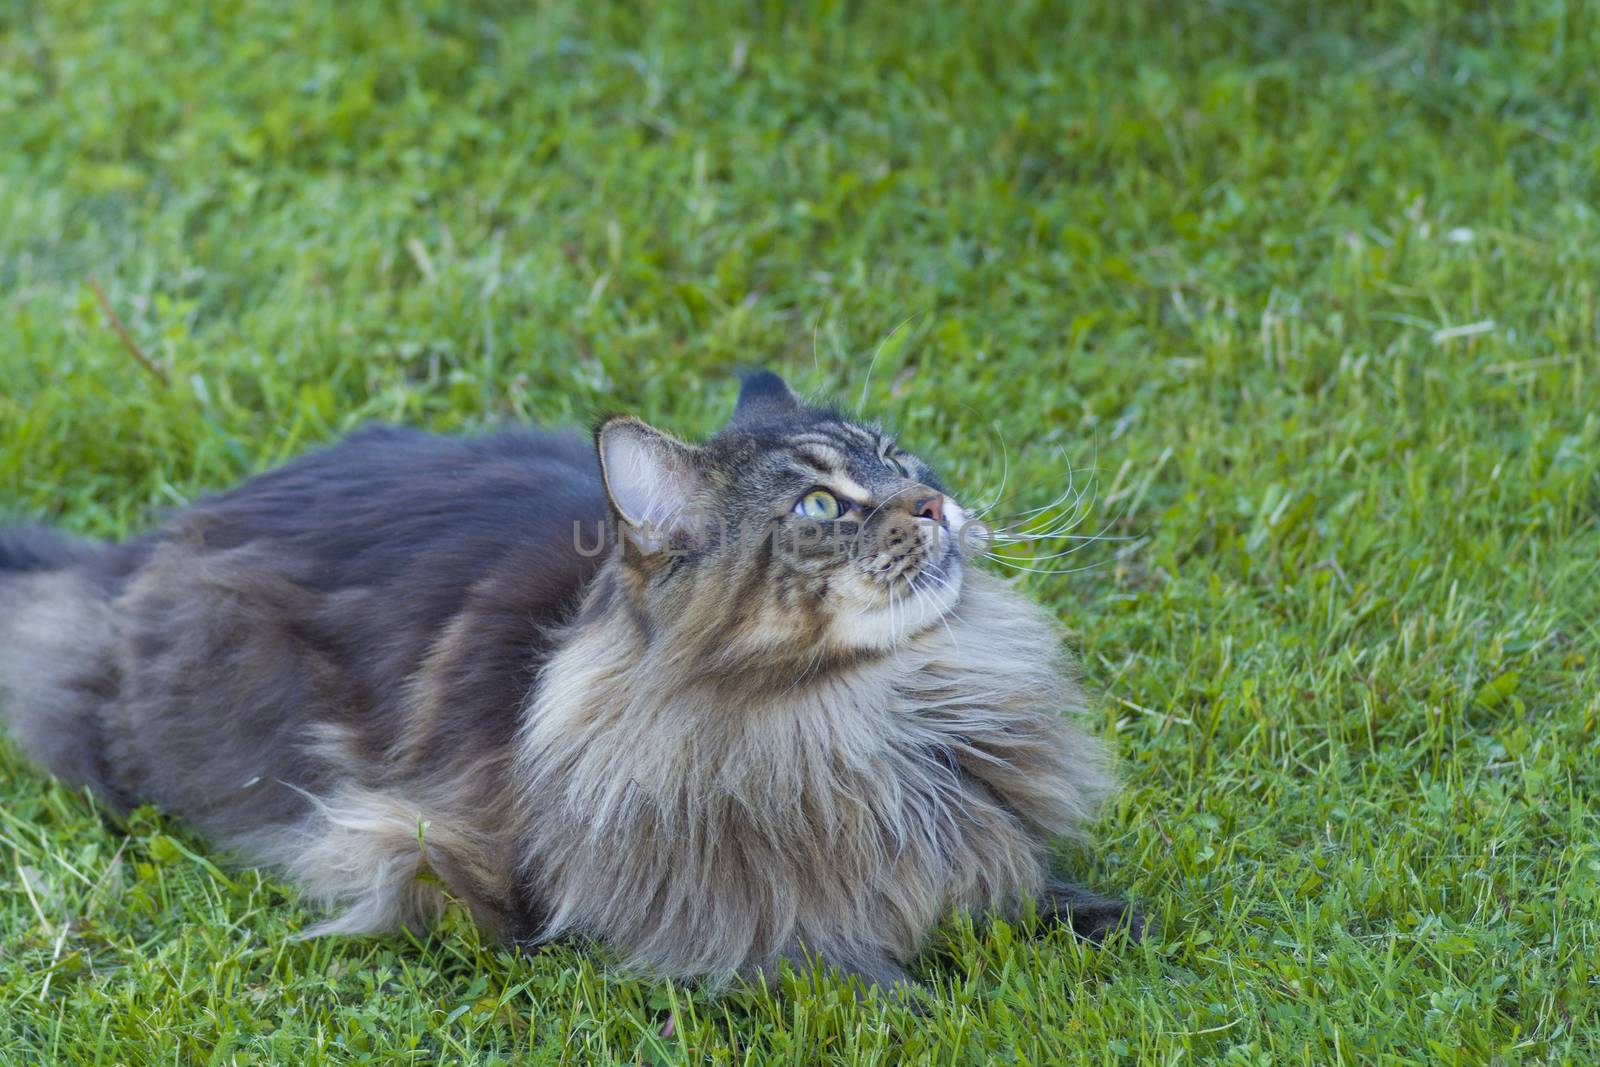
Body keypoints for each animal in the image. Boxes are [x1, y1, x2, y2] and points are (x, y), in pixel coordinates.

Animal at [6, 371, 1145, 991]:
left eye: (900, 458)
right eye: (822, 507)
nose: (935, 504)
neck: (876, 711)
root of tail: (136, 548)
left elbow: (1036, 890)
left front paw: (1108, 920)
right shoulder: (696, 921)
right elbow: (832, 963)